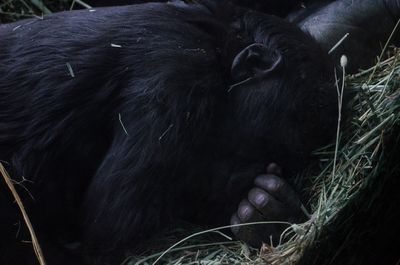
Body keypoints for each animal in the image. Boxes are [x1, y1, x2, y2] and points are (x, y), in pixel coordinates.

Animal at [0, 0, 398, 262]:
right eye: (270, 140)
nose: (243, 178)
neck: (221, 48)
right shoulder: (175, 84)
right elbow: (111, 230)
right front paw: (267, 210)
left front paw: (265, 210)